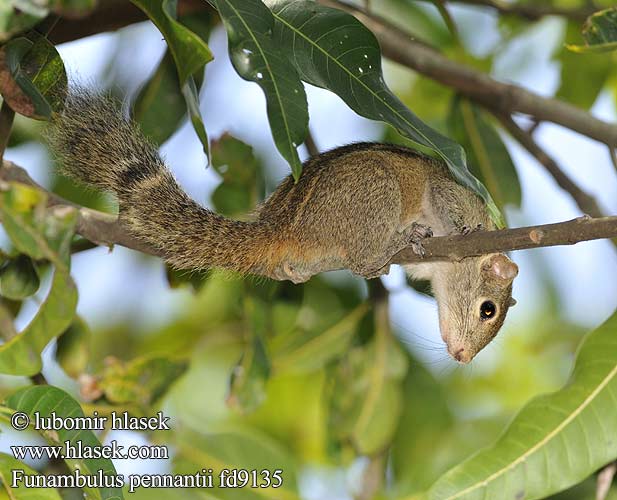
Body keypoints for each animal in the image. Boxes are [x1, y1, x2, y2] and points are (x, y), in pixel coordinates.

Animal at [47, 89, 516, 364]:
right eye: (487, 310)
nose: (462, 357)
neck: (446, 273)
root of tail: (282, 228)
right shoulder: (450, 194)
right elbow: (448, 208)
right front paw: (451, 233)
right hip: (377, 190)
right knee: (361, 258)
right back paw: (389, 247)